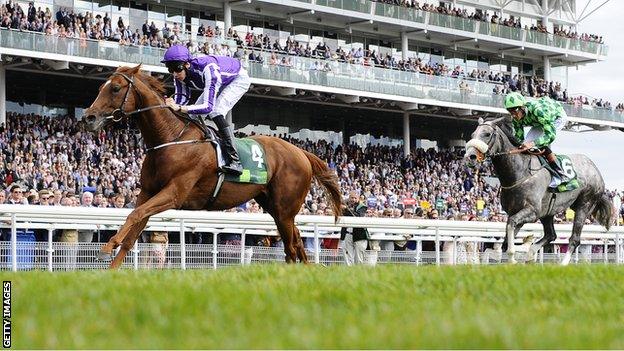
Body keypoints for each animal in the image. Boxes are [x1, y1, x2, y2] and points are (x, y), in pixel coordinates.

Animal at [81, 65, 342, 270]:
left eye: (115, 88)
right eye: (101, 87)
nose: (88, 117)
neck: (172, 138)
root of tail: (302, 153)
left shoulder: (174, 193)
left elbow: (134, 215)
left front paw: (107, 247)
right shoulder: (148, 192)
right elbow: (134, 227)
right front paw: (112, 269)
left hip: (285, 207)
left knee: (291, 245)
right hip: (274, 207)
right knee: (296, 239)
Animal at [464, 117, 616, 266]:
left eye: (487, 134)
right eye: (472, 135)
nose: (470, 157)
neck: (520, 172)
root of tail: (594, 168)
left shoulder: (532, 211)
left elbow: (511, 225)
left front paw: (512, 258)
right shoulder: (515, 211)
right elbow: (507, 236)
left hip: (584, 205)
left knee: (574, 239)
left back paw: (562, 264)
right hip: (548, 211)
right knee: (551, 235)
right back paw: (530, 254)